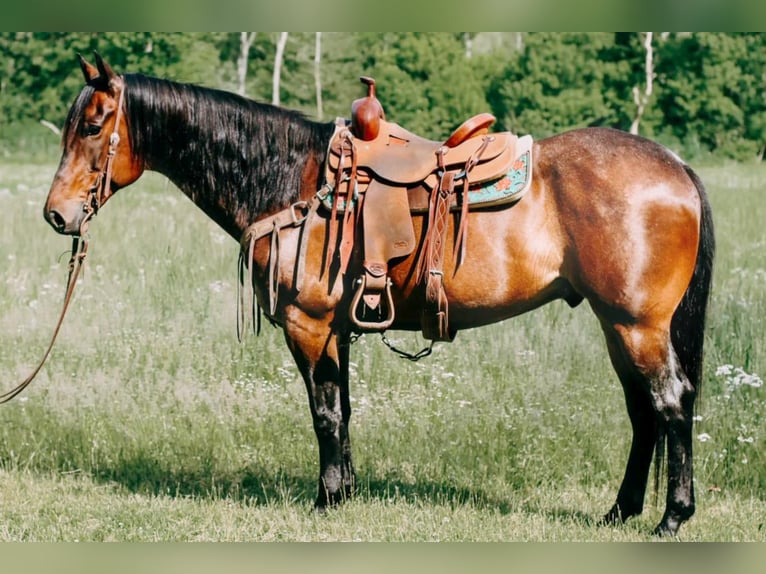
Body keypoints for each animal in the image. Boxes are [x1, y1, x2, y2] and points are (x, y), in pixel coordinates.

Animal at [42, 55, 712, 540]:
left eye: (93, 126)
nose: (57, 215)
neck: (291, 180)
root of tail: (675, 167)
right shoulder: (337, 330)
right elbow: (343, 409)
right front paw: (348, 492)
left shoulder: (308, 325)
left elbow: (324, 414)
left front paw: (325, 499)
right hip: (616, 325)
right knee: (643, 414)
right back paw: (620, 512)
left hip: (637, 325)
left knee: (671, 404)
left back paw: (672, 517)